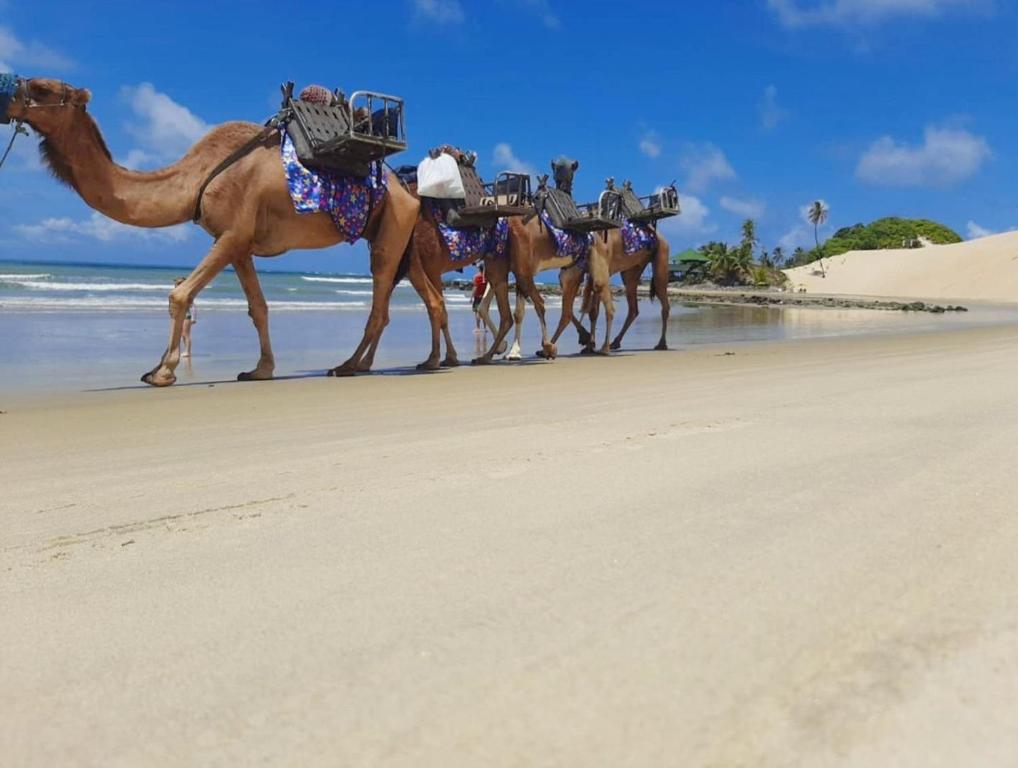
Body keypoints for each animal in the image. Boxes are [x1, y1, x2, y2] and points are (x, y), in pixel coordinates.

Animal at [4, 77, 419, 386]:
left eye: (43, 88)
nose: (7, 99)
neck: (198, 176)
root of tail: (403, 187)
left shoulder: (231, 232)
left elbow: (179, 294)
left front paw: (163, 372)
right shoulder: (239, 244)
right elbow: (258, 307)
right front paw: (260, 370)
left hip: (393, 226)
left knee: (378, 301)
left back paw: (346, 366)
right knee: (383, 306)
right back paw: (360, 365)